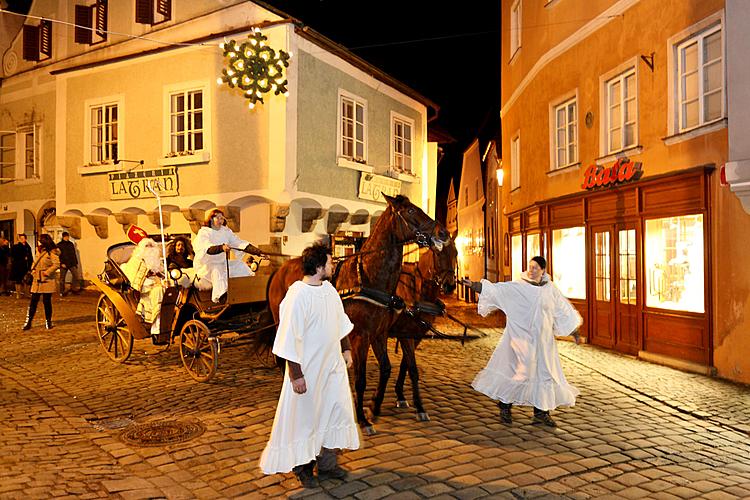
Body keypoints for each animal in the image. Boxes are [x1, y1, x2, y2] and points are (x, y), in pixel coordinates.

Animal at [264, 193, 450, 436]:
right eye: (410, 211)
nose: (443, 233)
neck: (369, 277)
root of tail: (280, 269)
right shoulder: (361, 336)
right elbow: (361, 379)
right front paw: (363, 418)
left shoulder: (378, 334)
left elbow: (387, 368)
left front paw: (374, 407)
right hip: (283, 325)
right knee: (285, 360)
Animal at [388, 238, 458, 422]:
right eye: (439, 254)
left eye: (456, 253)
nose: (449, 286)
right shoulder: (405, 334)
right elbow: (412, 369)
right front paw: (420, 407)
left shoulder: (417, 334)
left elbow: (405, 364)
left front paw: (401, 396)